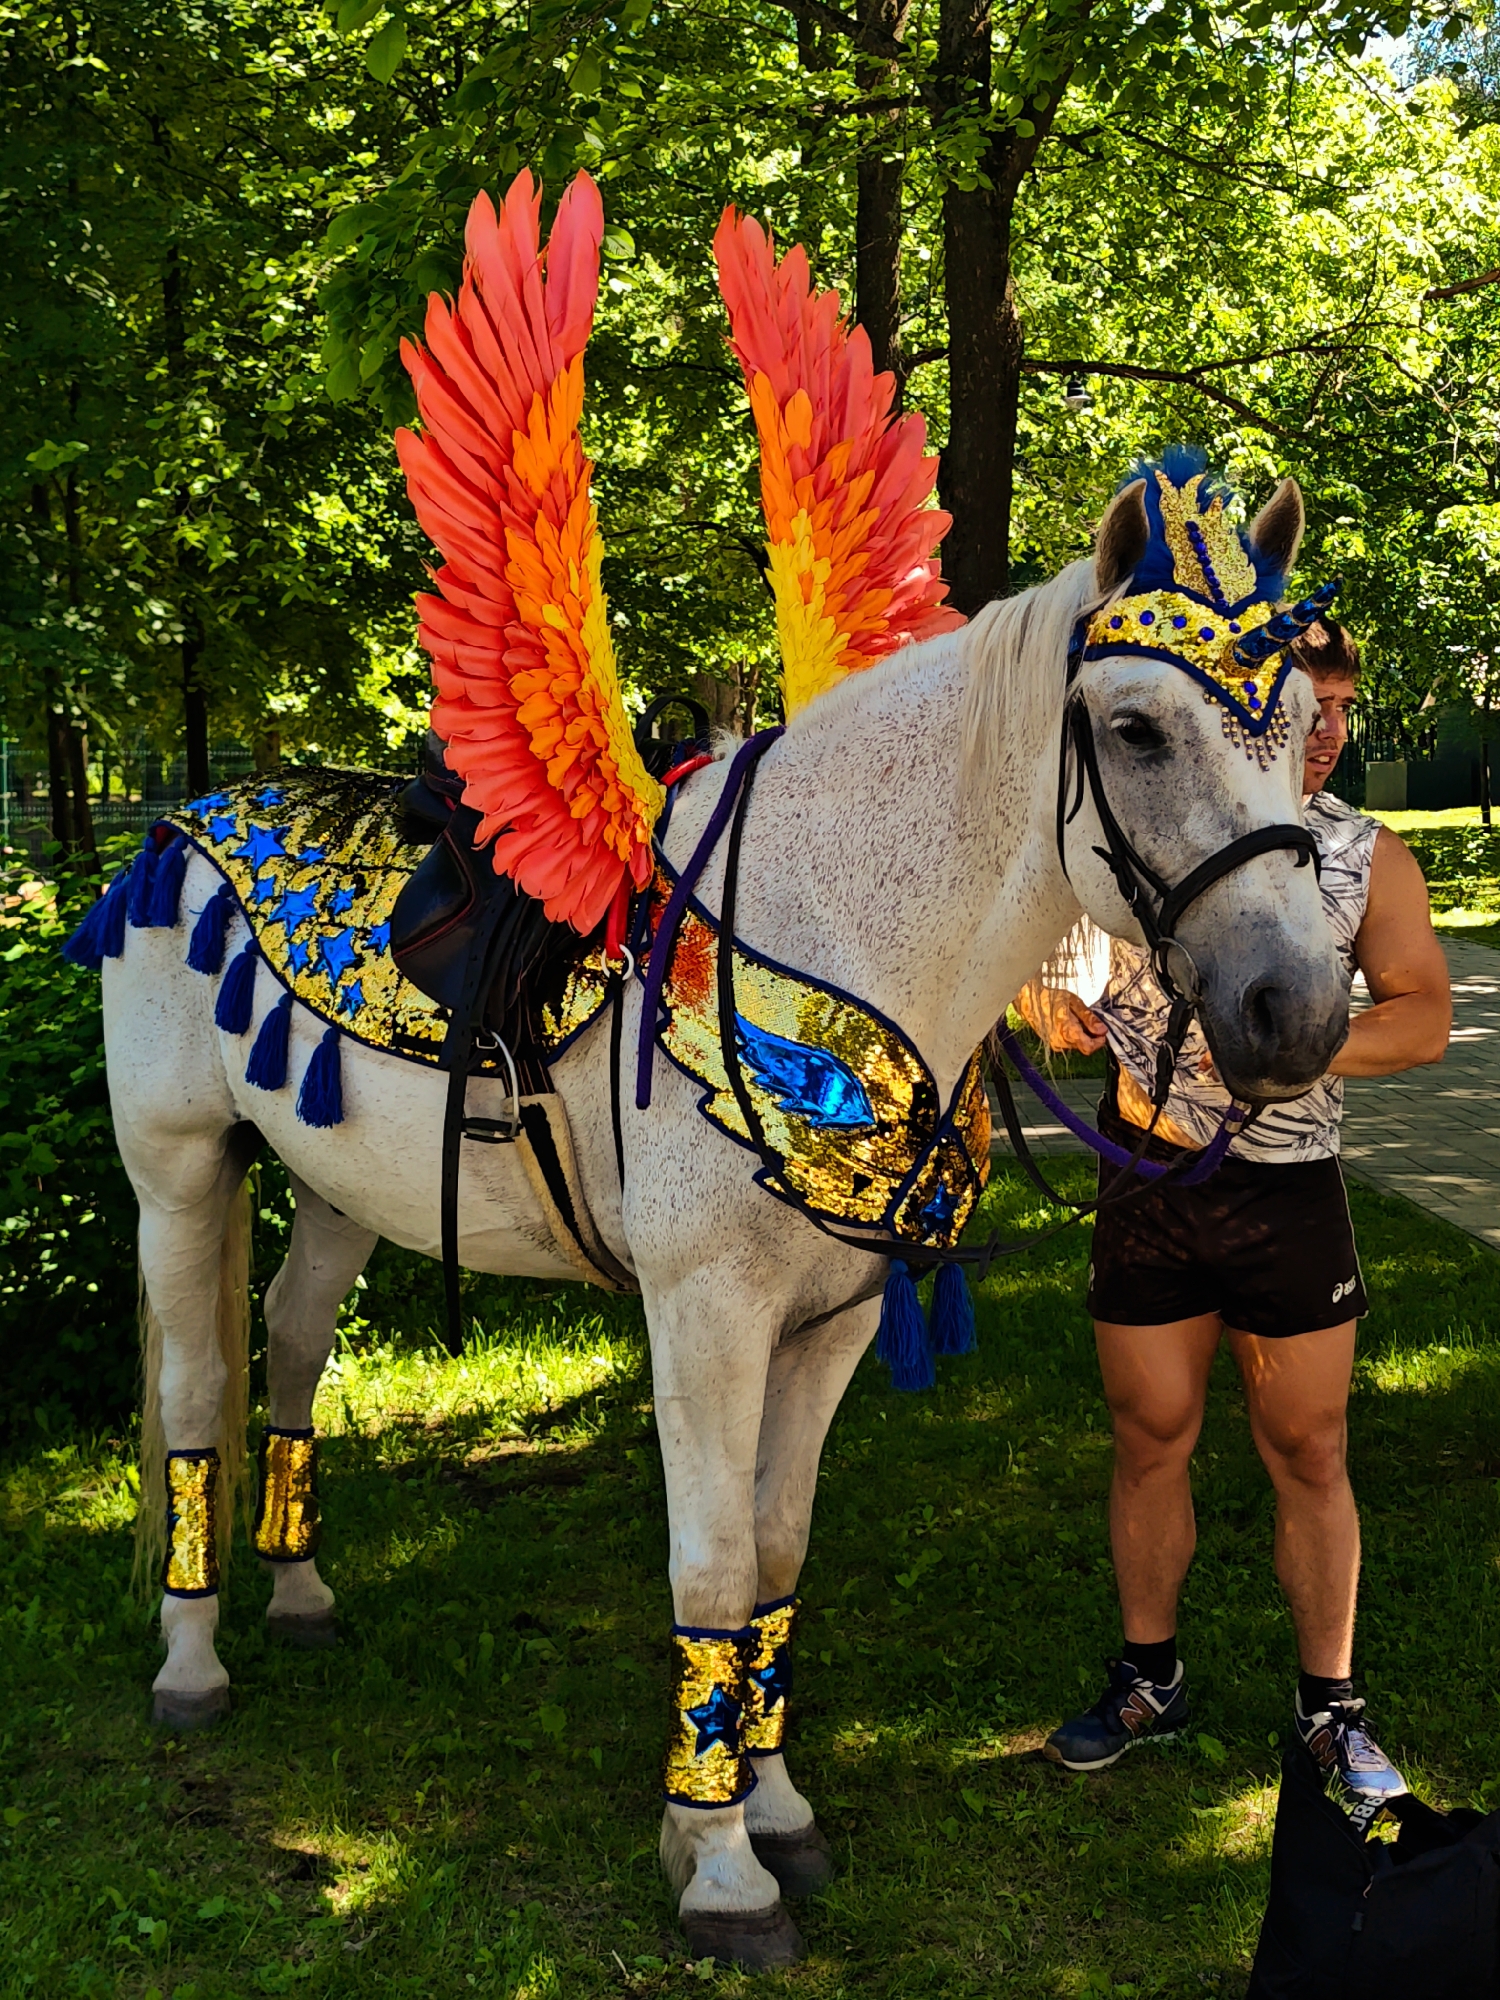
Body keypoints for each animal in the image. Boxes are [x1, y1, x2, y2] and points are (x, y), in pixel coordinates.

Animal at [95, 477, 1347, 1966]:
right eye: (1138, 728)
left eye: (1299, 724)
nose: (1296, 1011)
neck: (835, 932)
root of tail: (174, 828)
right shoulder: (705, 1316)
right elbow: (710, 1564)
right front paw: (719, 1866)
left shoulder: (831, 1324)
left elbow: (776, 1552)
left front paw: (776, 1806)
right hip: (180, 1171)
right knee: (194, 1385)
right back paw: (189, 1662)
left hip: (342, 1188)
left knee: (287, 1342)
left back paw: (298, 1595)